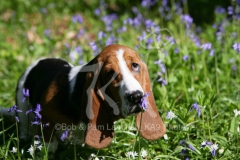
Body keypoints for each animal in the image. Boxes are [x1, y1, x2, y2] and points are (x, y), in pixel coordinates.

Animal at [11, 43, 166, 152]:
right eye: (110, 73)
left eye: (135, 65)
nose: (136, 97)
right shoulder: (45, 118)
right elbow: (49, 145)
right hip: (22, 104)